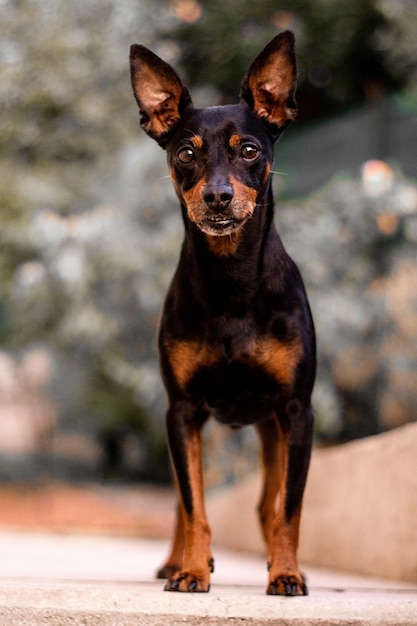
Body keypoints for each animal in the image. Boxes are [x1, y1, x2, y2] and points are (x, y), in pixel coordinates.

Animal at [130, 30, 316, 596]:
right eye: (186, 152)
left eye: (249, 150)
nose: (217, 196)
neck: (231, 280)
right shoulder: (183, 411)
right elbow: (195, 506)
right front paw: (192, 569)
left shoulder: (297, 412)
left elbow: (289, 508)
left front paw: (286, 573)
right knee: (183, 500)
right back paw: (177, 562)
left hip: (273, 430)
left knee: (267, 504)